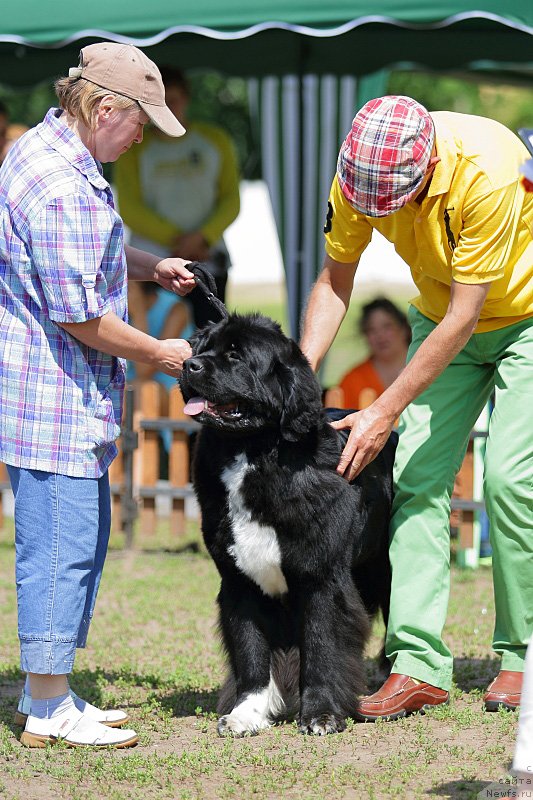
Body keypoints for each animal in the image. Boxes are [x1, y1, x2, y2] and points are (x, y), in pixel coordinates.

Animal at [179, 312, 394, 736]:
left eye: (236, 355)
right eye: (202, 347)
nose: (188, 364)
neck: (252, 452)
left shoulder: (321, 578)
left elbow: (321, 646)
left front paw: (321, 714)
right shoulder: (240, 582)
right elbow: (251, 653)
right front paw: (248, 712)